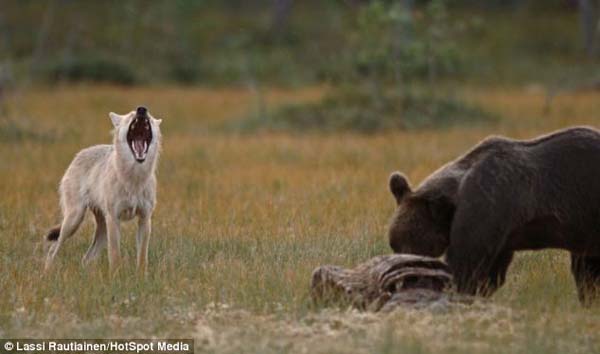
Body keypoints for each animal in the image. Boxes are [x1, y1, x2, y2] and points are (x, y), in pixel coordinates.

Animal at [44, 106, 162, 274]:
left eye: (149, 118)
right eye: (131, 115)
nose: (142, 109)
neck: (134, 178)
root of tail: (79, 154)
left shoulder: (145, 219)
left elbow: (142, 258)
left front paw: (141, 277)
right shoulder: (114, 218)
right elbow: (115, 256)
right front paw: (116, 277)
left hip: (102, 230)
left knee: (86, 258)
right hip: (74, 221)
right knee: (53, 249)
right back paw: (46, 274)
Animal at [386, 126, 600, 302]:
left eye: (415, 243)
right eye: (394, 243)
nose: (399, 271)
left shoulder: (487, 204)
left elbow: (466, 265)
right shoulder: (500, 231)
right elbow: (492, 273)